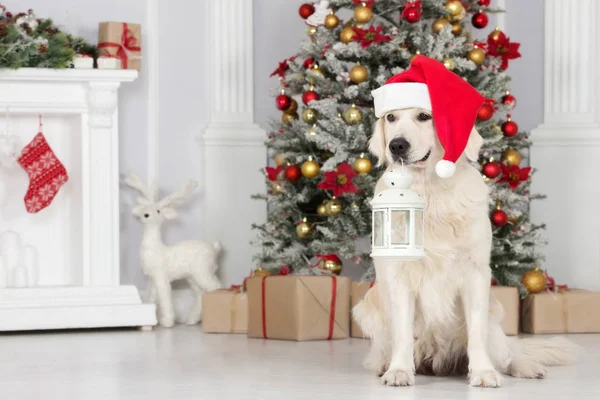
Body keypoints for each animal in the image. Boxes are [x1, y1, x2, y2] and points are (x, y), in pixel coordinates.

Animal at [354, 107, 576, 388]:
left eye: (424, 116)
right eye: (390, 117)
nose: (396, 145)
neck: (430, 193)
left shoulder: (476, 272)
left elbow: (477, 333)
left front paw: (483, 372)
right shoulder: (399, 274)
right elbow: (402, 332)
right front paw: (399, 370)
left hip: (495, 319)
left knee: (508, 354)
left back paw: (526, 367)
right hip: (369, 308)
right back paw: (385, 365)